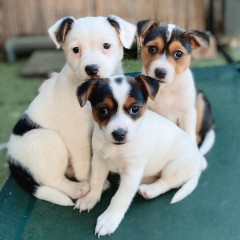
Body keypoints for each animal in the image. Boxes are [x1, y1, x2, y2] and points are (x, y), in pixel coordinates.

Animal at [6, 15, 136, 206]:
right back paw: (77, 188)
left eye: (106, 45)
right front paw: (91, 182)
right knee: (54, 180)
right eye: (76, 50)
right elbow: (85, 165)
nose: (91, 69)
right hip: (48, 139)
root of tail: (11, 160)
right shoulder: (78, 137)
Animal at [74, 74, 206, 236]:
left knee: (167, 182)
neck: (117, 148)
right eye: (103, 110)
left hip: (174, 166)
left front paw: (109, 219)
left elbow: (119, 198)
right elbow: (95, 183)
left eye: (135, 108)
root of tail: (197, 165)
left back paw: (149, 190)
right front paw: (90, 198)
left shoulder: (132, 172)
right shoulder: (98, 161)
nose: (119, 134)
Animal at [136, 19, 215, 153]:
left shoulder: (187, 113)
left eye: (178, 54)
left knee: (198, 136)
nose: (160, 72)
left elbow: (190, 135)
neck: (166, 87)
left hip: (200, 100)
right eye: (152, 48)